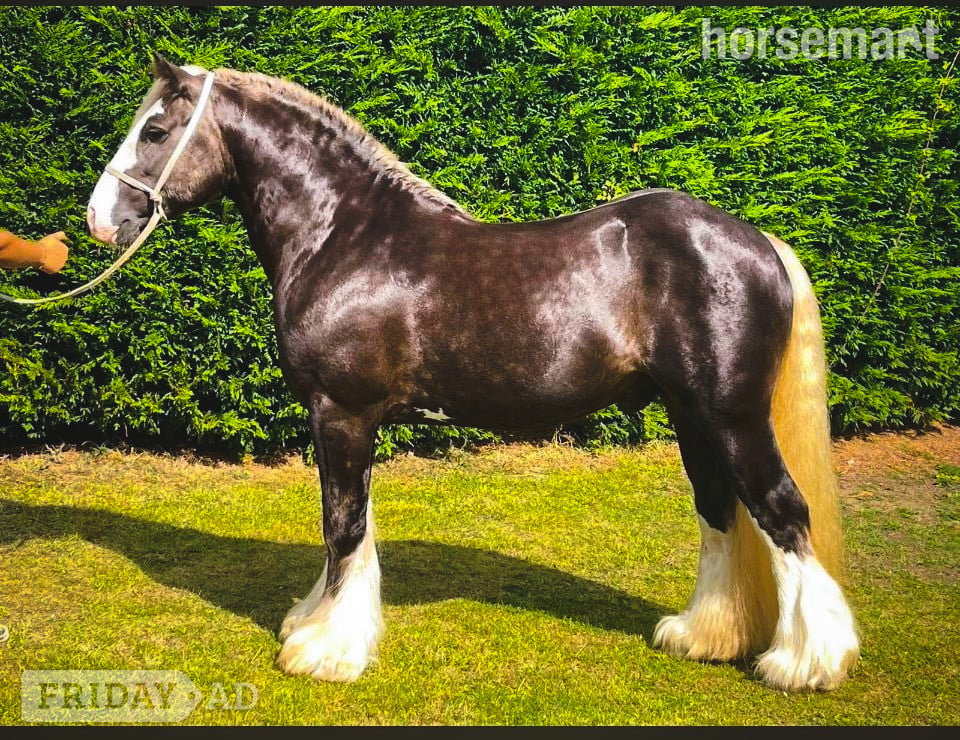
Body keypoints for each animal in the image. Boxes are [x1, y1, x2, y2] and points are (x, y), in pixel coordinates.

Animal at [86, 55, 860, 692]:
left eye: (155, 131)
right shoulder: (347, 421)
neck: (343, 236)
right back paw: (702, 636)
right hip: (691, 415)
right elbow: (351, 523)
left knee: (783, 511)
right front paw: (319, 621)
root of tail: (758, 241)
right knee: (719, 509)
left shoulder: (341, 412)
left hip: (733, 418)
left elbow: (342, 523)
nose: (98, 219)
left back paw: (806, 663)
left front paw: (324, 650)